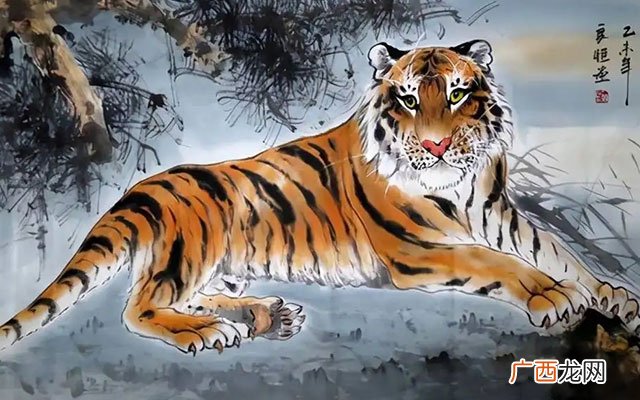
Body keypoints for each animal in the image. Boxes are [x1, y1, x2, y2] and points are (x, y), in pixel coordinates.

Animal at [1, 39, 639, 356]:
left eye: (458, 94)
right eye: (409, 98)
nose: (435, 145)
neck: (457, 184)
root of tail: (141, 186)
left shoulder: (498, 211)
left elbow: (555, 250)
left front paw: (610, 294)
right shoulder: (419, 250)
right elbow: (498, 264)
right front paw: (553, 297)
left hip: (217, 267)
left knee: (192, 296)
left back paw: (266, 315)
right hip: (192, 246)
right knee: (139, 308)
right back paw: (209, 332)